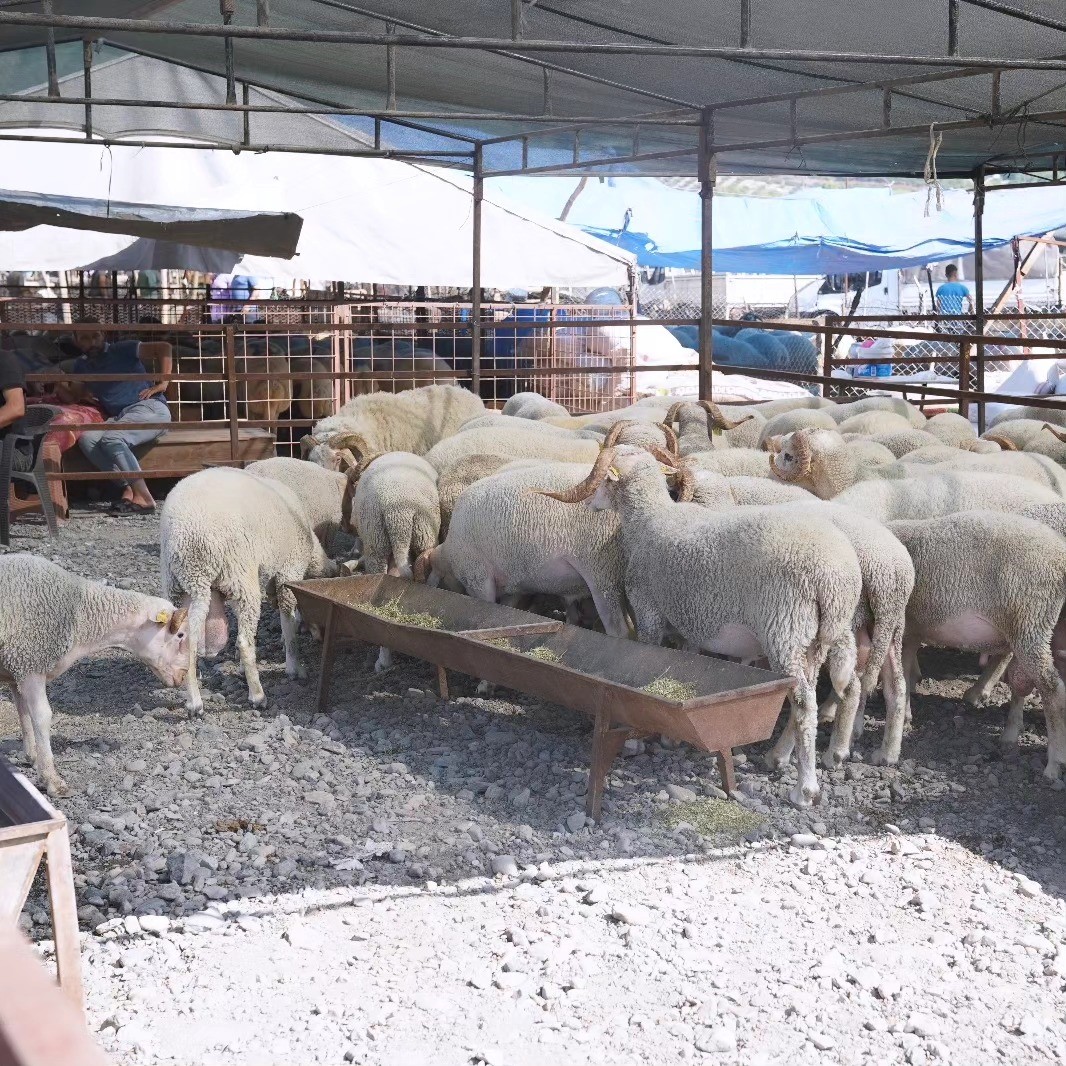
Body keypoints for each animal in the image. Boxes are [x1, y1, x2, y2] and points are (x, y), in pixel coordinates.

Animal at [0, 554, 189, 797]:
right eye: (180, 635)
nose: (183, 675)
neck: (79, 613)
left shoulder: (18, 667)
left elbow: (23, 713)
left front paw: (32, 756)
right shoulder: (32, 663)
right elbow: (41, 717)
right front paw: (52, 780)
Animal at [157, 469, 338, 712]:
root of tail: (189, 537)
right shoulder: (288, 571)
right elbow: (288, 621)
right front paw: (294, 667)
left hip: (180, 585)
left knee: (185, 638)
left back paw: (194, 691)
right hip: (238, 577)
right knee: (243, 640)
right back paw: (255, 696)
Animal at [541, 445, 865, 801]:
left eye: (601, 479)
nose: (589, 503)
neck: (650, 520)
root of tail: (835, 575)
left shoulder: (649, 610)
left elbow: (645, 662)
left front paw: (635, 740)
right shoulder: (689, 620)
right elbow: (686, 661)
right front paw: (672, 736)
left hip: (785, 627)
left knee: (804, 702)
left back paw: (805, 787)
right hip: (815, 639)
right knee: (815, 693)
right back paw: (781, 756)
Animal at [891, 511, 1066, 780]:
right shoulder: (911, 629)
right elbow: (906, 669)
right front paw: (907, 712)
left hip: (1031, 619)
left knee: (1052, 689)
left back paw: (1054, 763)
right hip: (1029, 626)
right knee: (1023, 679)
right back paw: (1011, 734)